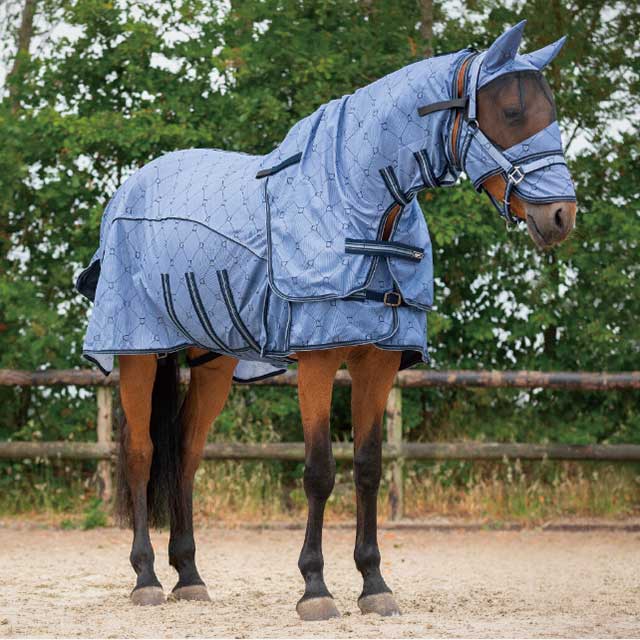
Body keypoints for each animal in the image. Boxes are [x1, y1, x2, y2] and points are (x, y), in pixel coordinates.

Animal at [76, 21, 577, 618]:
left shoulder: (378, 361)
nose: (562, 216)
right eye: (511, 112)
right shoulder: (317, 359)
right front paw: (315, 588)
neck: (365, 212)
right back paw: (147, 578)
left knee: (185, 455)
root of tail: (128, 191)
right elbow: (319, 471)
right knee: (141, 453)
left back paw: (190, 577)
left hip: (213, 360)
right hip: (137, 351)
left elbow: (368, 468)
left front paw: (374, 585)